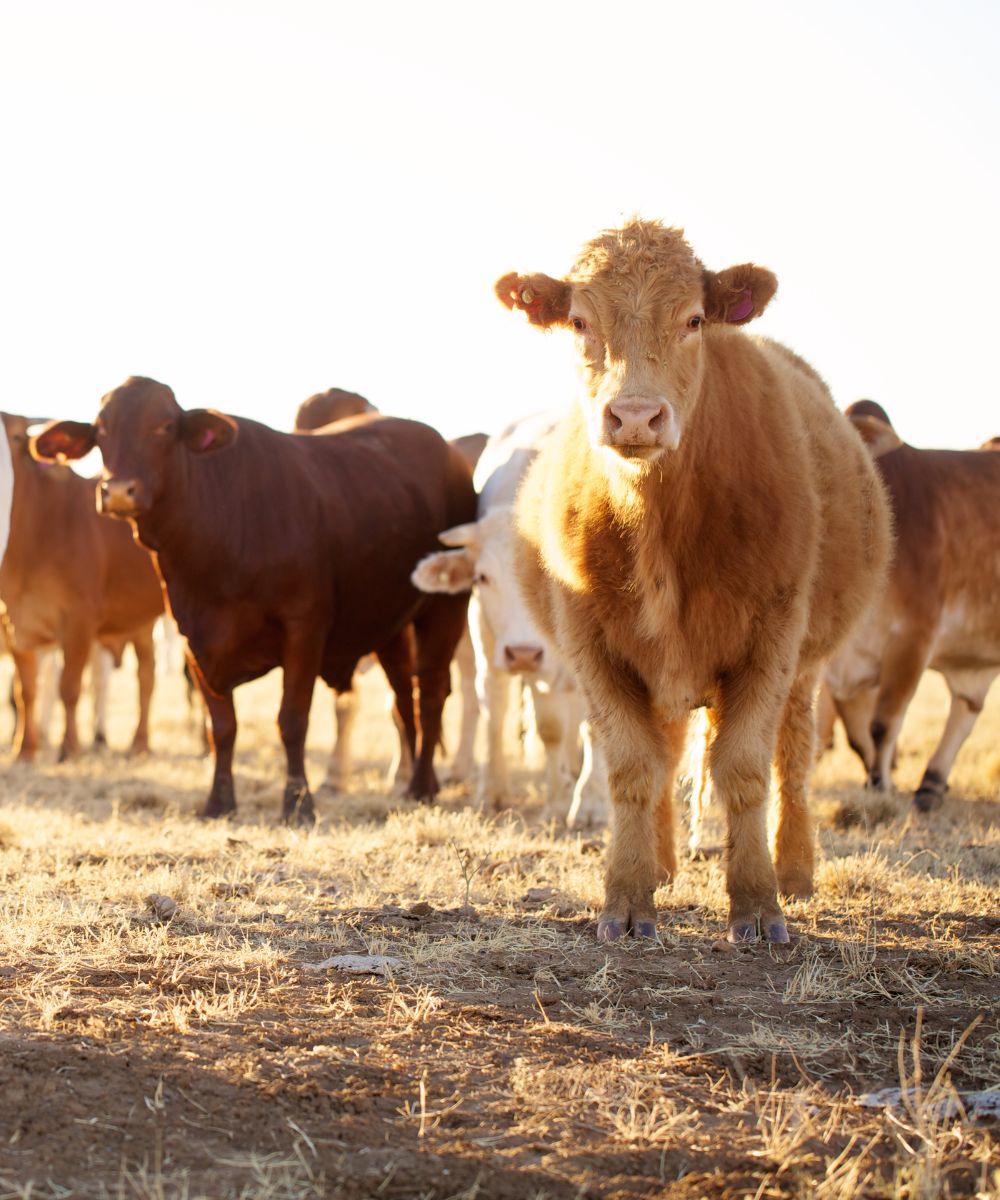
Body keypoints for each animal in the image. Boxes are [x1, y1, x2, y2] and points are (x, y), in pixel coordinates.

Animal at [1, 408, 163, 753]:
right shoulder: (14, 623)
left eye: (18, 437)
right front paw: (25, 749)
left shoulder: (79, 621)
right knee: (147, 675)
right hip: (141, 622)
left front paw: (70, 748)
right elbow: (25, 691)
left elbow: (69, 687)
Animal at [33, 376, 477, 825]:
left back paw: (422, 786)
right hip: (390, 628)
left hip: (446, 609)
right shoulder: (193, 638)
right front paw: (218, 802)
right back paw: (413, 782)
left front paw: (298, 804)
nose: (119, 491)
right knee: (405, 698)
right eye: (101, 429)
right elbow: (222, 727)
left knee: (432, 693)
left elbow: (292, 720)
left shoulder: (304, 628)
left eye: (165, 426)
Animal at [410, 412, 605, 825]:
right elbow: (528, 721)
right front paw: (510, 793)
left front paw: (590, 804)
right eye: (483, 577)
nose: (524, 653)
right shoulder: (489, 643)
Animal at [496, 220, 888, 940]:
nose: (635, 416)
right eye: (578, 320)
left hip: (805, 669)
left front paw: (759, 903)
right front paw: (627, 897)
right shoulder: (594, 647)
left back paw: (794, 870)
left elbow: (744, 769)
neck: (660, 528)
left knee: (792, 756)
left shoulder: (771, 641)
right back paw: (661, 864)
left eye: (694, 319)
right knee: (668, 753)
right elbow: (633, 767)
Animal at [821, 400, 998, 806]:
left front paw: (881, 785)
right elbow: (858, 737)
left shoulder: (912, 639)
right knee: (967, 706)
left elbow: (883, 724)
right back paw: (931, 784)